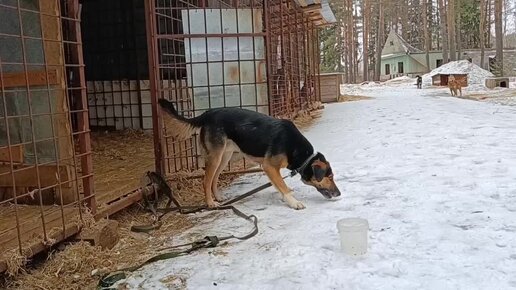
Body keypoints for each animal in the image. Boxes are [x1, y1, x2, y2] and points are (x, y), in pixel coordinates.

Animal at [159, 98, 340, 210]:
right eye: (330, 177)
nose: (339, 194)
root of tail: (207, 114)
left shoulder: (270, 169)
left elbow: (278, 184)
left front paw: (284, 197)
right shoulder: (269, 166)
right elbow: (281, 184)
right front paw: (293, 202)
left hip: (224, 157)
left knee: (214, 178)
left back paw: (218, 197)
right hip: (215, 157)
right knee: (206, 180)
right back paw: (210, 203)